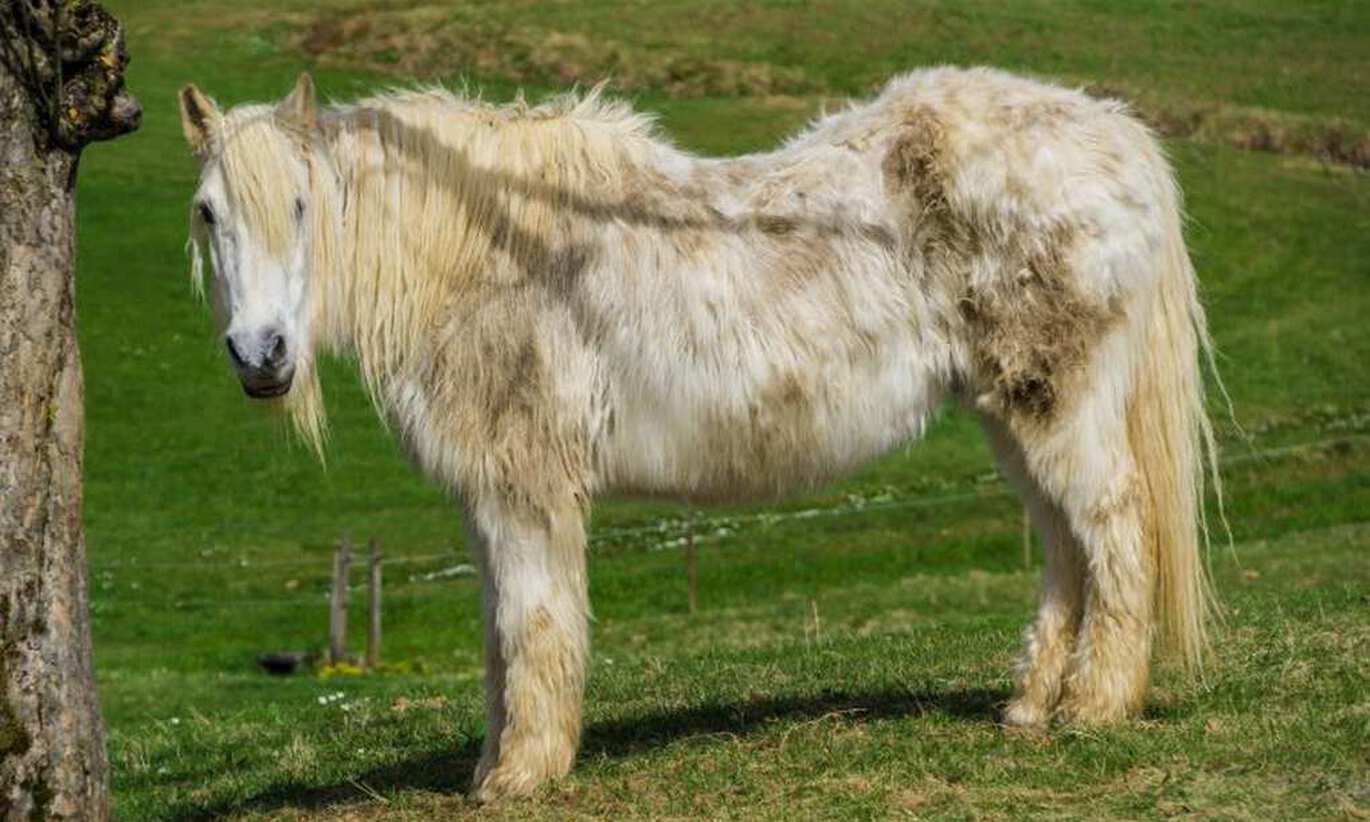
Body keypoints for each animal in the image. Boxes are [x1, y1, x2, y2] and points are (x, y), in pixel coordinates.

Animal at [178, 67, 1221, 801]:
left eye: (302, 206)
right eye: (206, 213)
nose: (260, 354)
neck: (487, 255)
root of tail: (1116, 134)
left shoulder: (527, 492)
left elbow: (534, 624)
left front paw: (522, 775)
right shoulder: (488, 500)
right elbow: (497, 637)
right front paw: (492, 765)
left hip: (1060, 406)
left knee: (1115, 530)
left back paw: (1095, 707)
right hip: (1015, 415)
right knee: (1063, 548)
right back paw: (1032, 707)